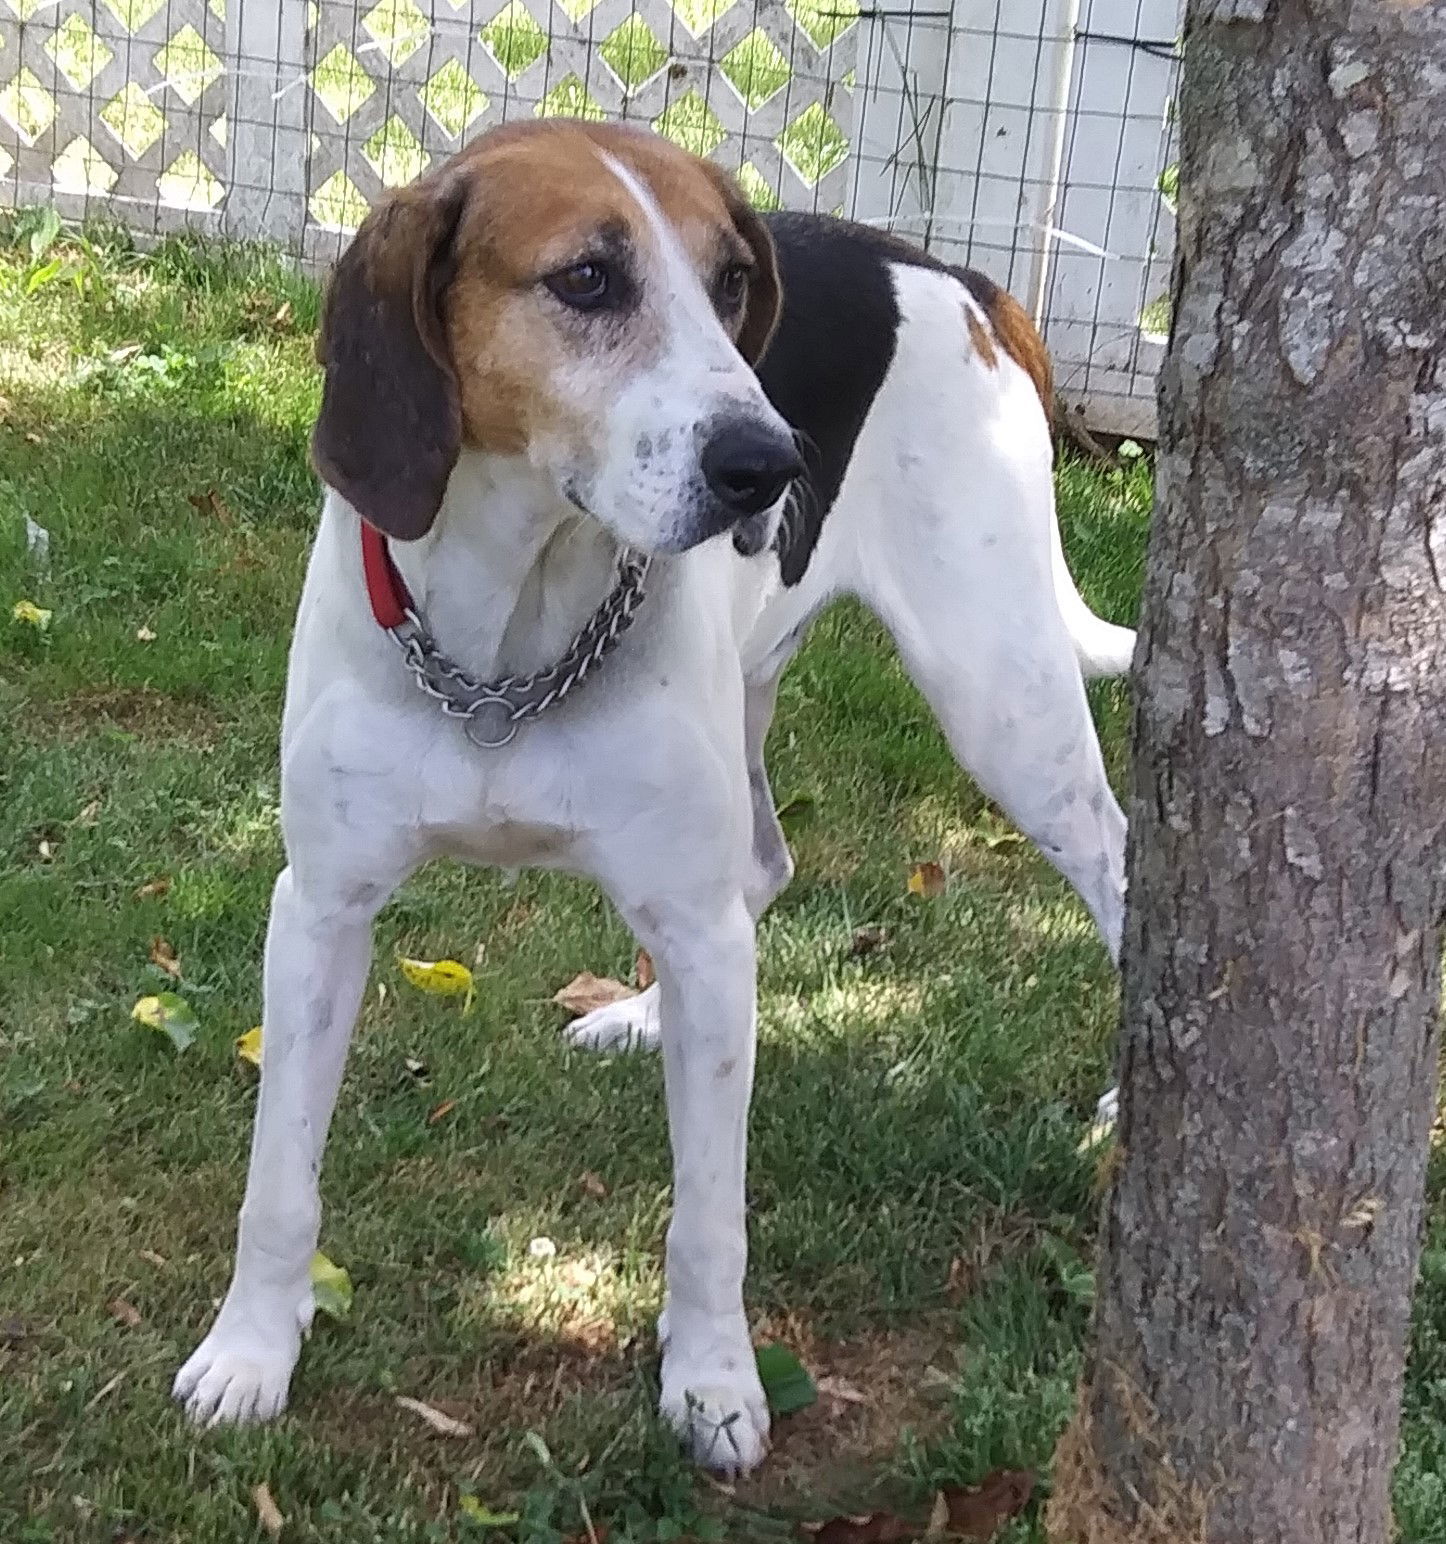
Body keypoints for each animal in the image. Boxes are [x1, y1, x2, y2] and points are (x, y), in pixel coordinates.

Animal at [175, 117, 1135, 1469]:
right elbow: (277, 1179)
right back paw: (642, 1015)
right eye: (587, 280)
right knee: (763, 870)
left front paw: (714, 1379)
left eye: (732, 283)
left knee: (1119, 863)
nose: (769, 462)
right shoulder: (319, 910)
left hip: (1001, 700)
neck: (508, 650)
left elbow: (708, 1218)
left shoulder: (691, 931)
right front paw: (253, 1348)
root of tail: (956, 273)